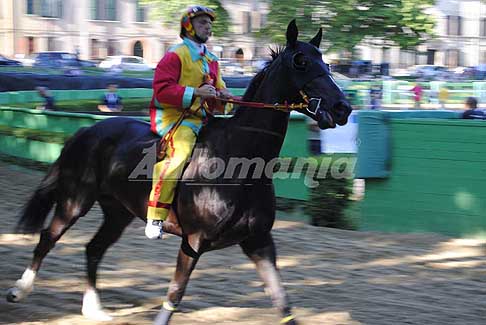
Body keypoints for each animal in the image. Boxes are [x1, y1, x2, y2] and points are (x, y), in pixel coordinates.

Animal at [6, 20, 350, 324]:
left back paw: (94, 309)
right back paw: (19, 290)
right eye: (301, 61)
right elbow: (174, 295)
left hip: (118, 212)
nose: (342, 107)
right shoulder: (193, 241)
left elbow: (282, 301)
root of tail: (87, 129)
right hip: (75, 201)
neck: (238, 160)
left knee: (94, 249)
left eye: (325, 61)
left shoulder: (259, 241)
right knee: (47, 238)